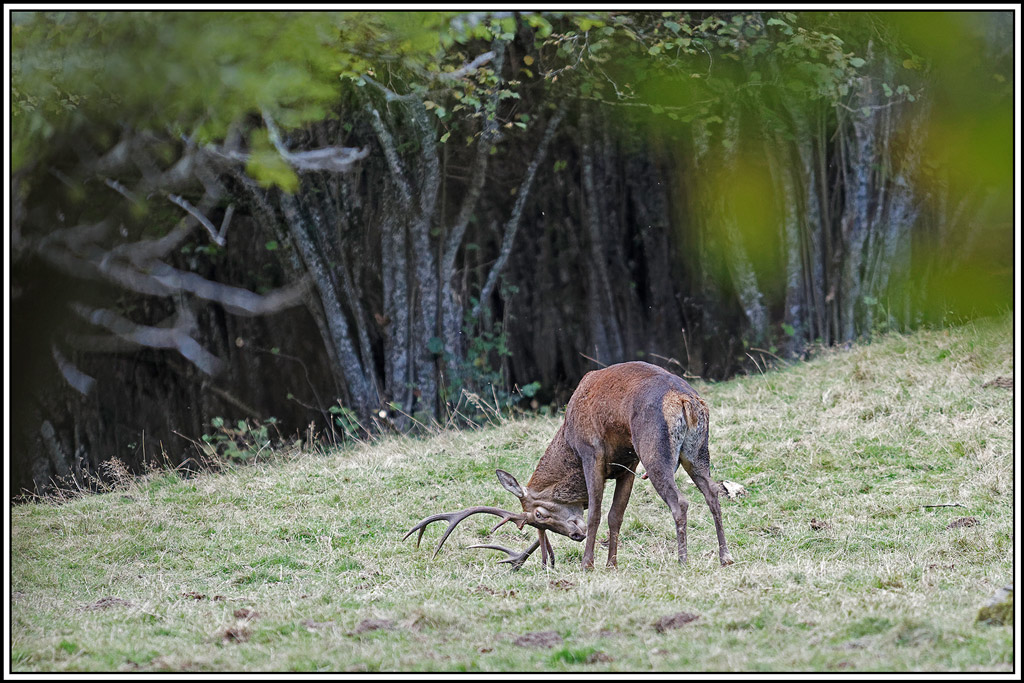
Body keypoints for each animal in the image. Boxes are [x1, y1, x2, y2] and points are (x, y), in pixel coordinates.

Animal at [404, 361, 734, 570]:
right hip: (696, 452)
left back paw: (683, 561)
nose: (575, 536)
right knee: (712, 491)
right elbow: (616, 516)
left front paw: (589, 564)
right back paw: (725, 557)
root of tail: (685, 401)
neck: (568, 442)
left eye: (538, 514)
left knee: (681, 501)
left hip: (654, 451)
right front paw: (611, 564)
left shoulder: (592, 452)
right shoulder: (628, 463)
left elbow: (596, 513)